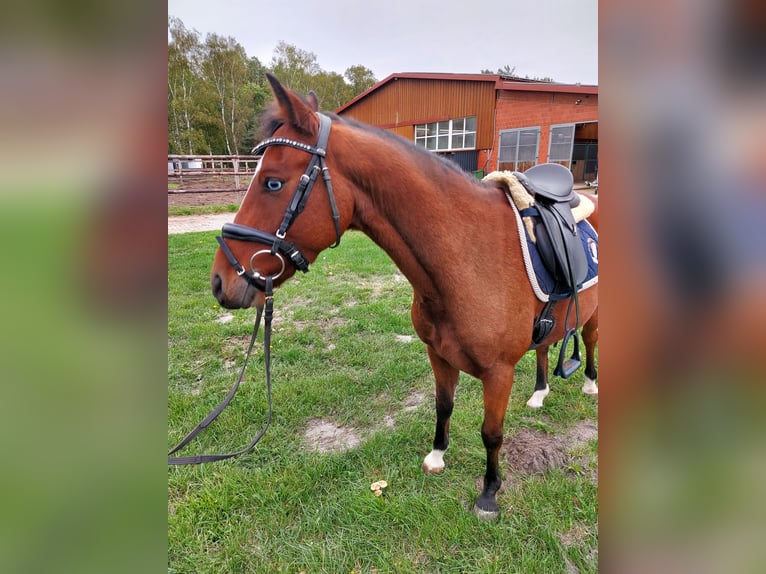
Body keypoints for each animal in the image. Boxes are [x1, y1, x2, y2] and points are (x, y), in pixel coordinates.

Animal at [210, 74, 598, 519]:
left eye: (273, 182)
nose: (220, 281)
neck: (467, 258)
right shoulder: (438, 354)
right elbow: (443, 406)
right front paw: (437, 457)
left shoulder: (498, 372)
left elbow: (491, 432)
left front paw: (488, 493)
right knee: (544, 347)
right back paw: (539, 393)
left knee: (590, 341)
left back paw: (590, 385)